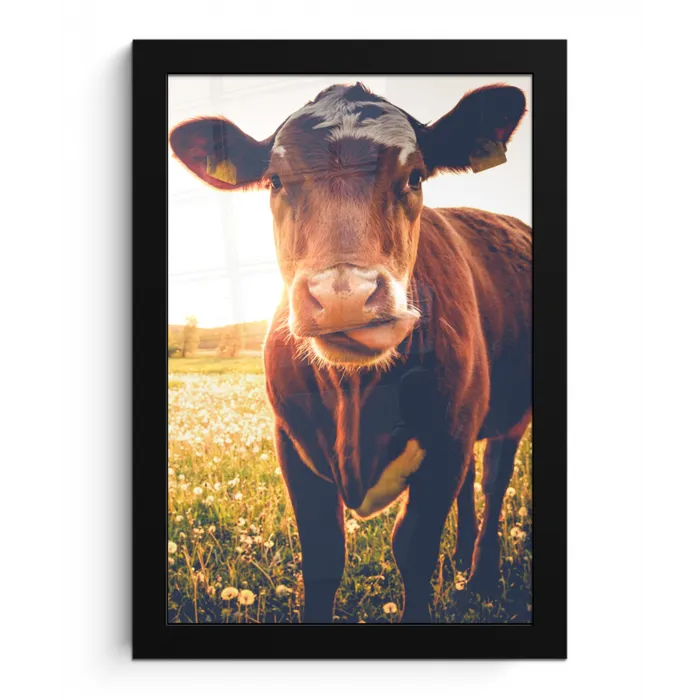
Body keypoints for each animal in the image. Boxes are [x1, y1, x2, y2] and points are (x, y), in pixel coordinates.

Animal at [169, 82, 532, 623]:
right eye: (275, 180)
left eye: (416, 175)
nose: (344, 296)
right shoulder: (291, 441)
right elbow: (323, 557)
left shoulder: (447, 439)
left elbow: (413, 550)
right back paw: (461, 560)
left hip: (508, 414)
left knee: (493, 481)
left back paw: (482, 576)